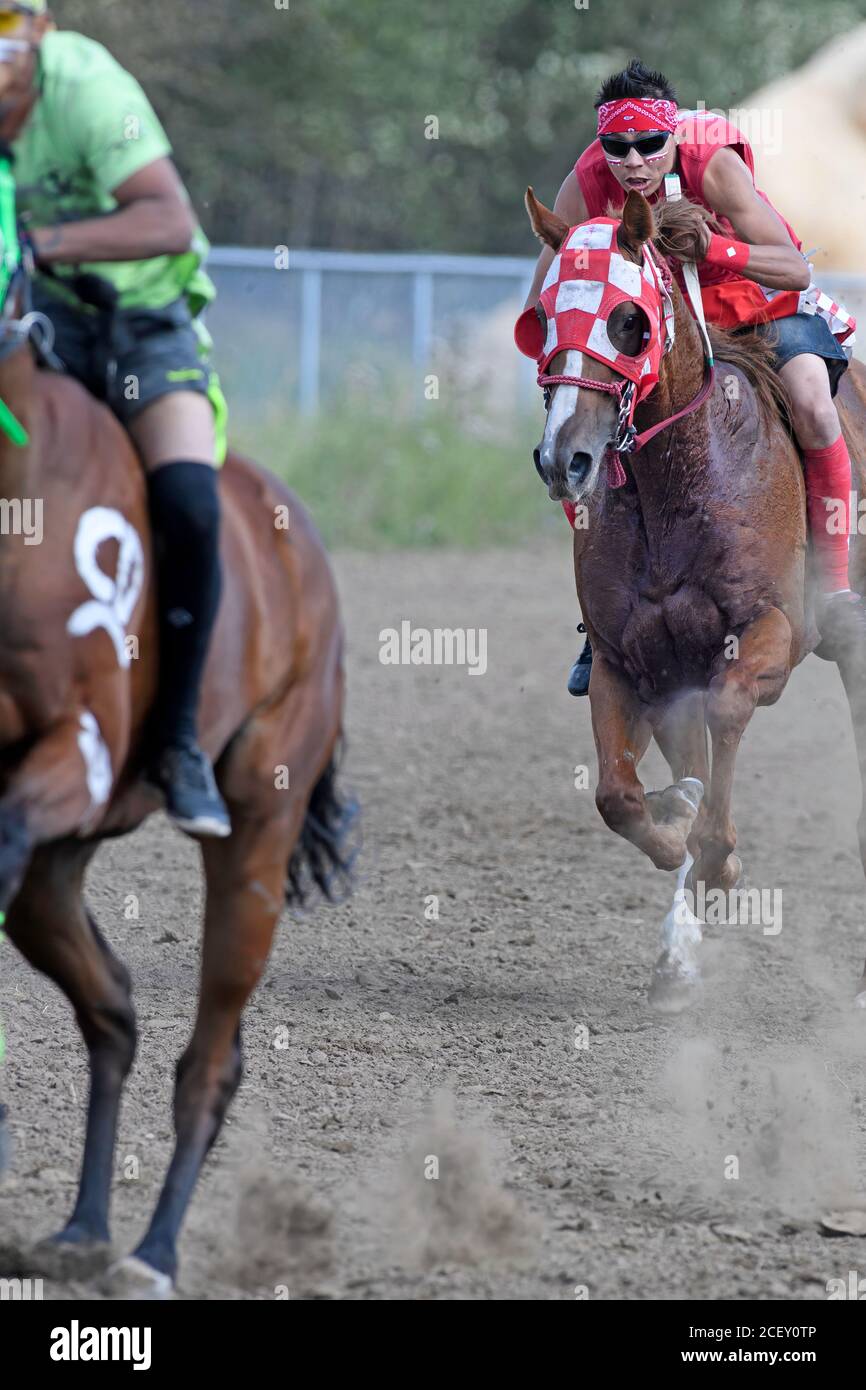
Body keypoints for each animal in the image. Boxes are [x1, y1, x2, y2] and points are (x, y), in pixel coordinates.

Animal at [0, 179, 355, 1295]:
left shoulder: (74, 750)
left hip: (255, 839)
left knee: (211, 1056)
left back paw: (152, 1249)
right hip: (55, 878)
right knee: (111, 1008)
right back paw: (81, 1224)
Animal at [525, 184, 866, 1011]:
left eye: (629, 320)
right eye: (544, 317)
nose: (563, 457)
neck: (679, 482)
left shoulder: (768, 632)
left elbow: (729, 713)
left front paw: (715, 857)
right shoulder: (630, 662)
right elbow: (620, 796)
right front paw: (678, 833)